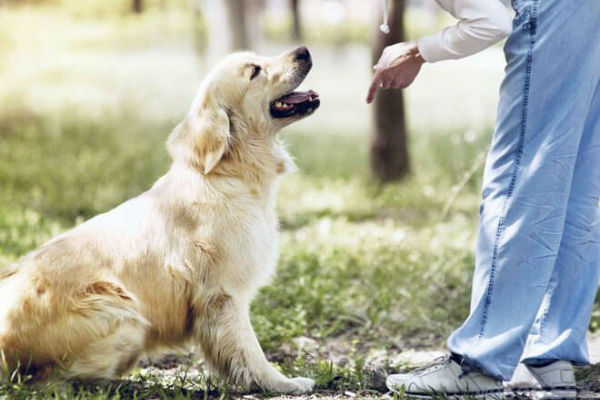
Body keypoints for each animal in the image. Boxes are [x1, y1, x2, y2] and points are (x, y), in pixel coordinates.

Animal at [0, 47, 318, 394]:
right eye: (254, 71)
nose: (303, 51)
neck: (228, 173)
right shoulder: (223, 295)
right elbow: (250, 352)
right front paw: (282, 383)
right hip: (123, 313)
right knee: (55, 381)